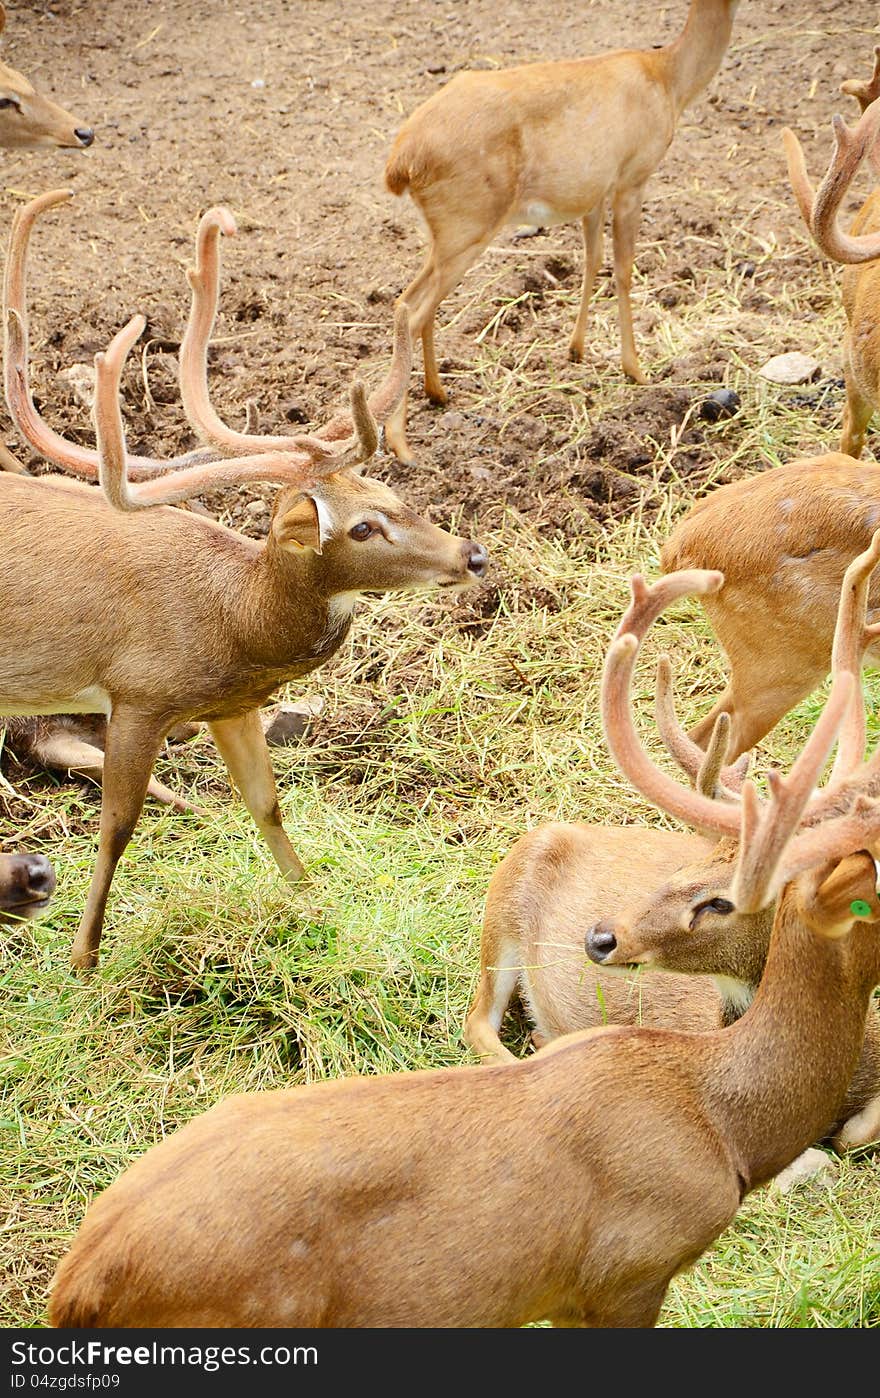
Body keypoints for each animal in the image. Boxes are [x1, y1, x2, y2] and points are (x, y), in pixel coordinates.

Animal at [0, 194, 486, 973]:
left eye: (392, 491)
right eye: (361, 528)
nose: (472, 555)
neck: (233, 623)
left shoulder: (231, 705)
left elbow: (267, 805)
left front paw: (315, 905)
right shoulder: (137, 694)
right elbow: (115, 828)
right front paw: (83, 959)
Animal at [46, 539, 880, 1325]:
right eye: (718, 891)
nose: (602, 938)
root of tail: (73, 1286)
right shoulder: (627, 1271)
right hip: (502, 910)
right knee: (478, 1018)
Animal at [380, 0, 738, 461]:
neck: (668, 78)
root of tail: (402, 162)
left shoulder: (593, 192)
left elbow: (593, 259)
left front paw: (577, 348)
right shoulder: (632, 176)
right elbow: (624, 269)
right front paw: (636, 370)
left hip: (445, 233)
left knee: (409, 301)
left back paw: (437, 393)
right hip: (468, 225)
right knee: (414, 308)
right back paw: (401, 442)